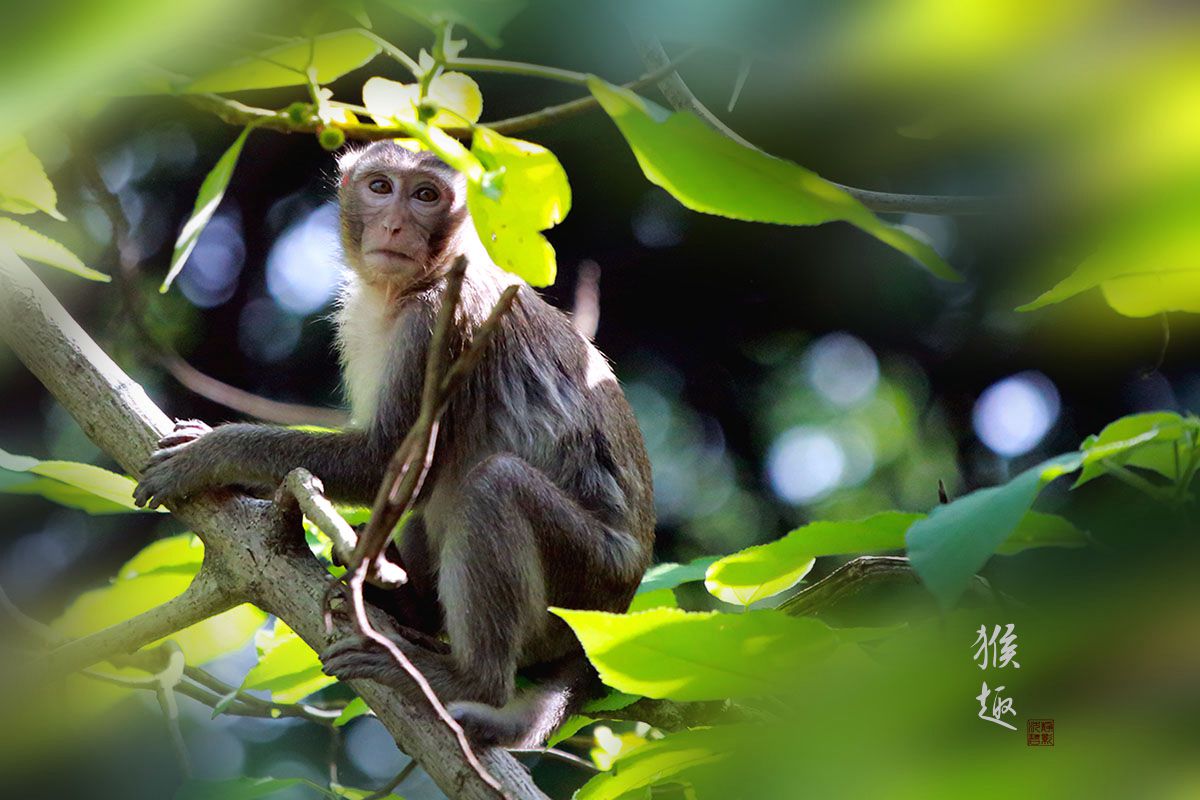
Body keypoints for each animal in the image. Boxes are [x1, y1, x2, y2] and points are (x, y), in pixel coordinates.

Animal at [133, 140, 657, 748]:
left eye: (426, 195)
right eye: (381, 187)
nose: (396, 224)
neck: (408, 288)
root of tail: (620, 607)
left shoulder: (440, 326)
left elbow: (384, 462)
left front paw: (210, 454)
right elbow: (402, 480)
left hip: (588, 582)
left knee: (494, 484)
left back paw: (461, 678)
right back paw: (408, 603)